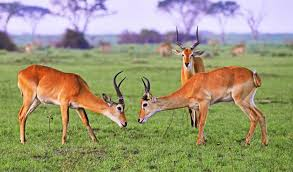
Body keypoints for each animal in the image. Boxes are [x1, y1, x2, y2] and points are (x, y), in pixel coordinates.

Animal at [138, 66, 268, 145]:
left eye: (145, 104)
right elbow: (199, 122)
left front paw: (198, 142)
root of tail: (252, 74)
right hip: (250, 101)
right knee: (262, 115)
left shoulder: (204, 103)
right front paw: (204, 141)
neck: (192, 86)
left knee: (254, 118)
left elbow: (201, 122)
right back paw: (264, 143)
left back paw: (246, 142)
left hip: (240, 101)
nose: (139, 119)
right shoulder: (197, 107)